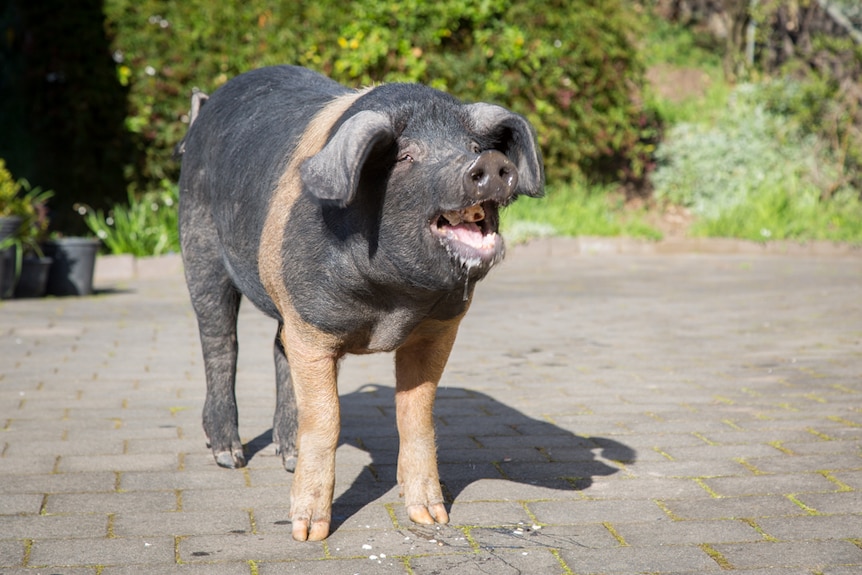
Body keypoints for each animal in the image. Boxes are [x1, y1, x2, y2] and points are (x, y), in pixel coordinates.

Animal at [178, 65, 544, 544]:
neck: (395, 302)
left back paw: (287, 457)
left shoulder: (438, 329)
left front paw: (431, 517)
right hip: (198, 243)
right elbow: (326, 419)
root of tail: (204, 109)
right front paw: (309, 534)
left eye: (473, 148)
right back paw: (229, 456)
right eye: (406, 156)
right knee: (219, 341)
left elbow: (417, 415)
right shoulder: (313, 327)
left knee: (277, 348)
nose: (487, 165)